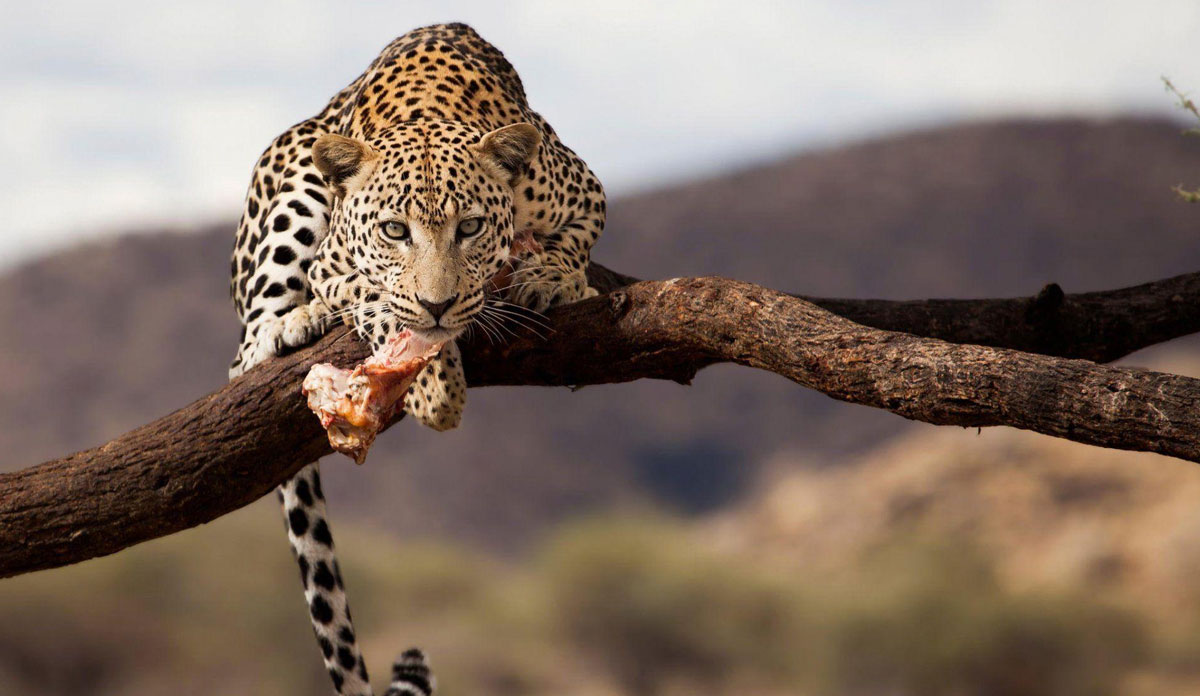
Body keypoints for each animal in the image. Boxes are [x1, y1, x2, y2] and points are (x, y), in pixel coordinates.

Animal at [225, 21, 604, 696]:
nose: (439, 302)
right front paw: (432, 383)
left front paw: (551, 278)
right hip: (293, 183)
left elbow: (572, 243)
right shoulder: (335, 267)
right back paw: (292, 324)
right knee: (244, 356)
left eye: (471, 227)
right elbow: (376, 301)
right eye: (395, 231)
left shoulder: (587, 193)